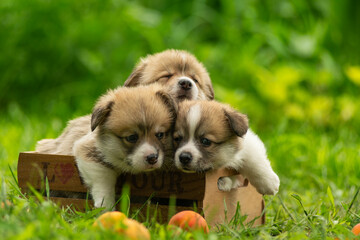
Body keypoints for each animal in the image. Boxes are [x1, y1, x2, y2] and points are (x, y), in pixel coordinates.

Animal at [37, 85, 177, 209]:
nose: (152, 158)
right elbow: (103, 181)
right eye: (132, 137)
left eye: (160, 135)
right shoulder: (88, 151)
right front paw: (106, 208)